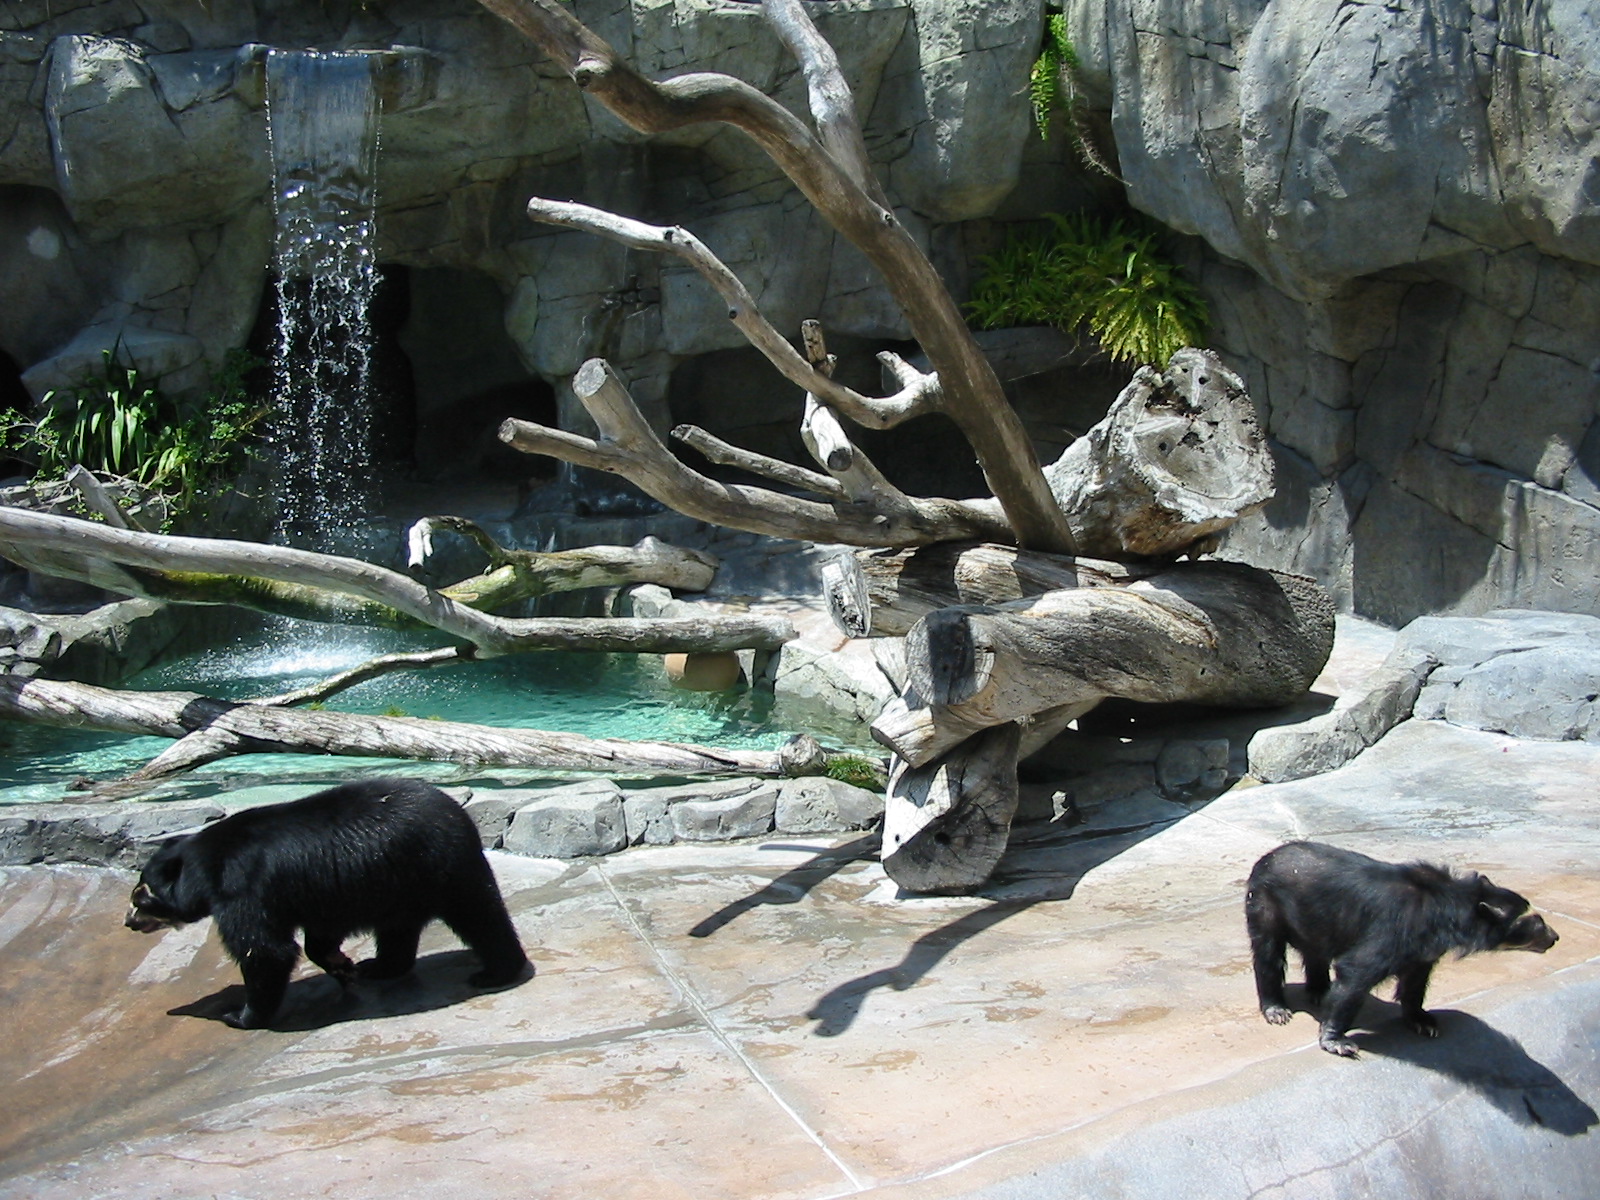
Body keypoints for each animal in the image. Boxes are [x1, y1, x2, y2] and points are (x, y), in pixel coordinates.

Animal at [125, 777, 531, 1029]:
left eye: (141, 893)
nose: (128, 921)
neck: (209, 866)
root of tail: (459, 813)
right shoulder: (320, 889)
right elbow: (319, 933)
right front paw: (342, 965)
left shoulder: (245, 888)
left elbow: (264, 950)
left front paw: (240, 1015)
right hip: (397, 884)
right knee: (398, 930)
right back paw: (379, 966)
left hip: (441, 868)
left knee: (479, 916)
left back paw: (495, 972)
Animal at [1246, 840, 1558, 1057]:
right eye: (1536, 921)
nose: (1554, 937)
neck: (1441, 914)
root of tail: (1266, 858)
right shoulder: (1395, 928)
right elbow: (1357, 972)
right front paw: (1337, 1041)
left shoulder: (1422, 949)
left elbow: (1415, 981)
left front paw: (1424, 1022)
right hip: (1265, 902)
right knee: (1268, 953)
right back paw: (1277, 1009)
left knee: (1316, 950)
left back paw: (1319, 990)